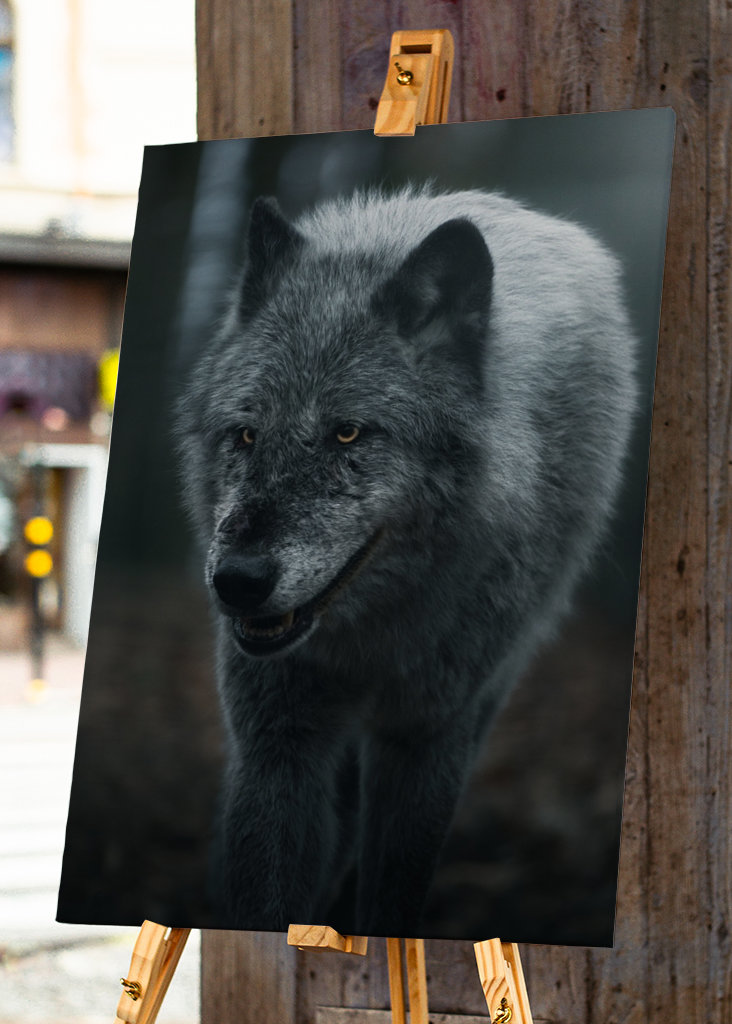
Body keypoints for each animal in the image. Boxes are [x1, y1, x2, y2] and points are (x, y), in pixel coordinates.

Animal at [176, 187, 637, 936]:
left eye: (348, 433)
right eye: (245, 435)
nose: (237, 583)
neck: (372, 637)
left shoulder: (427, 739)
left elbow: (393, 892)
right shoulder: (277, 744)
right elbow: (266, 897)